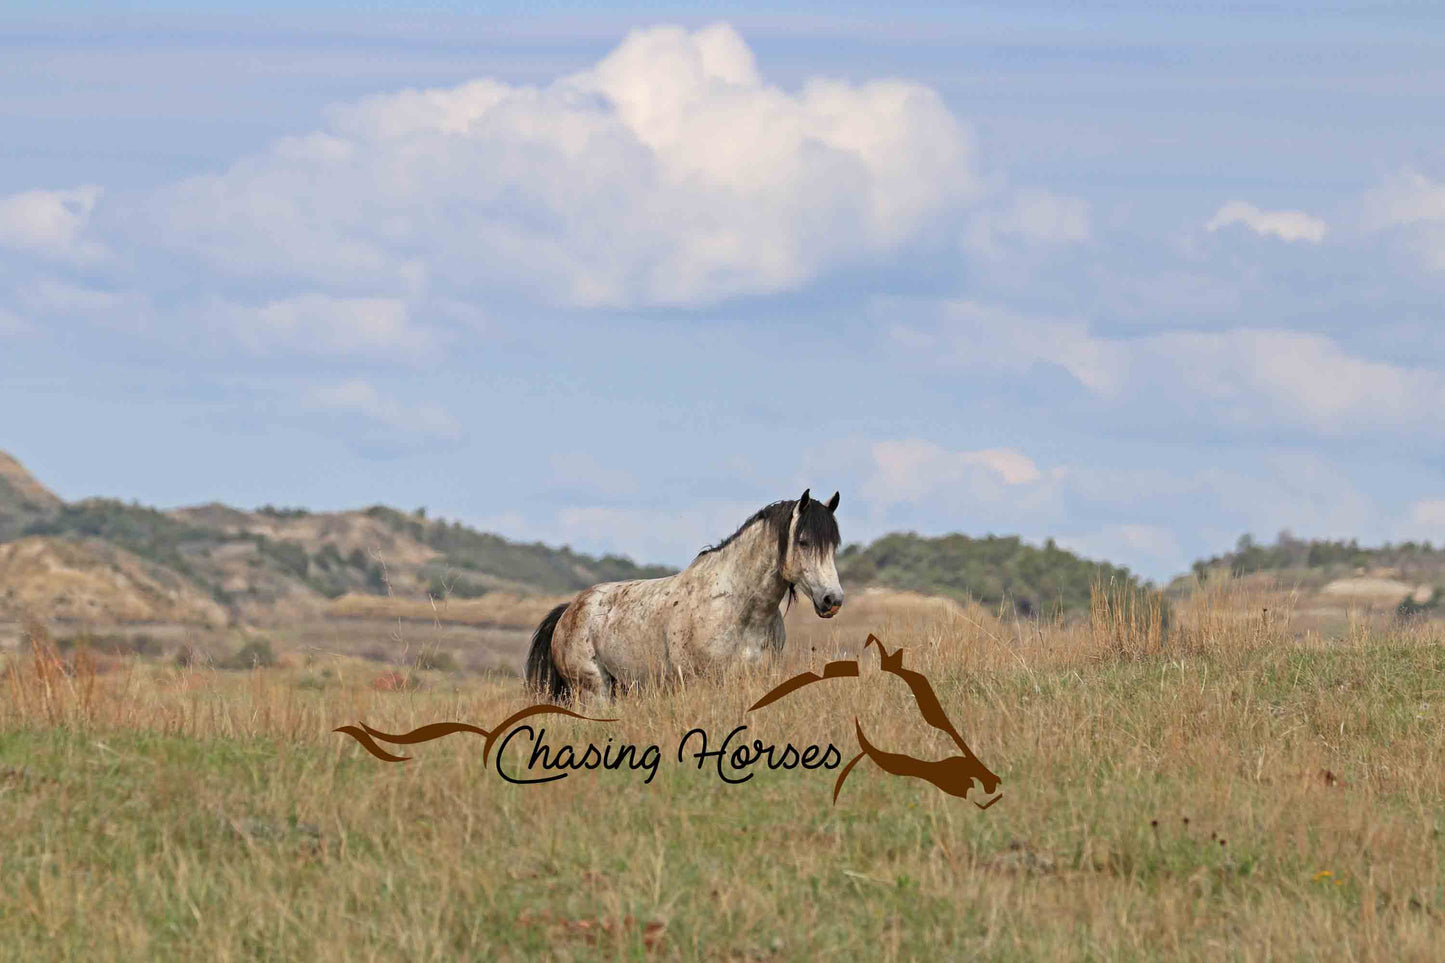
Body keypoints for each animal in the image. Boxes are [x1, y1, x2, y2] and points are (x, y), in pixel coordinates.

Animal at [525, 489, 844, 706]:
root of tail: (570, 610)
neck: (737, 609)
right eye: (803, 542)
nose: (833, 599)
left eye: (833, 546)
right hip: (594, 692)